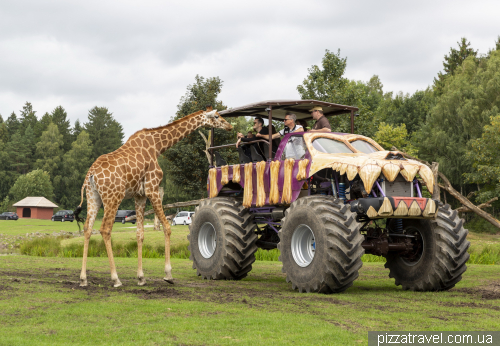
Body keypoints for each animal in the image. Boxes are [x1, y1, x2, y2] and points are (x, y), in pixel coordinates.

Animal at [74, 107, 232, 286]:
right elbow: (167, 227)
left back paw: (83, 278)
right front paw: (168, 275)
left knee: (87, 228)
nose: (230, 126)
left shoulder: (140, 195)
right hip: (113, 197)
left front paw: (141, 277)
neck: (158, 146)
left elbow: (140, 234)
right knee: (105, 229)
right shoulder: (152, 188)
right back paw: (116, 279)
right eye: (217, 116)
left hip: (93, 197)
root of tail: (91, 175)